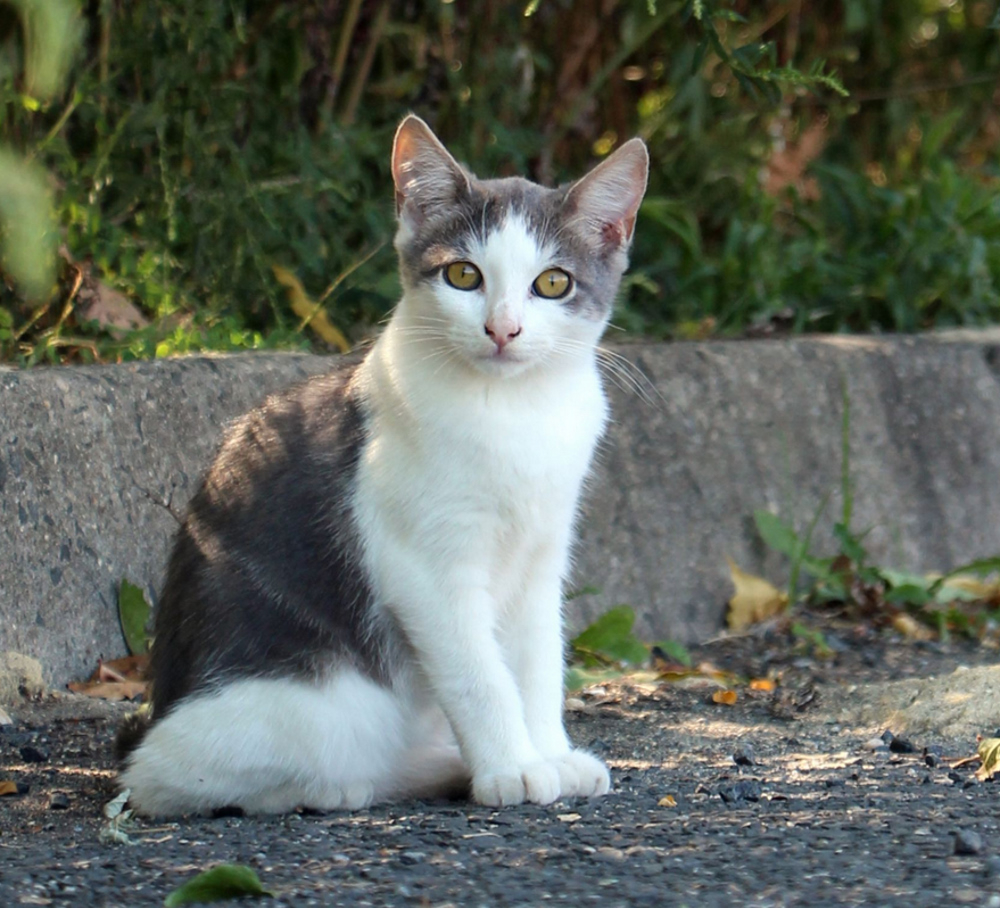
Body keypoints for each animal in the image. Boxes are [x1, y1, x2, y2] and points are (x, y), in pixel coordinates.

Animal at [117, 113, 648, 816]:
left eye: (553, 283)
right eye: (463, 276)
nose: (502, 329)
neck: (513, 413)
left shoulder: (541, 552)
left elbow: (538, 662)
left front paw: (551, 755)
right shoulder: (421, 566)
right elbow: (479, 675)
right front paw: (513, 768)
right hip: (316, 707)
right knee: (185, 778)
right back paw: (350, 785)